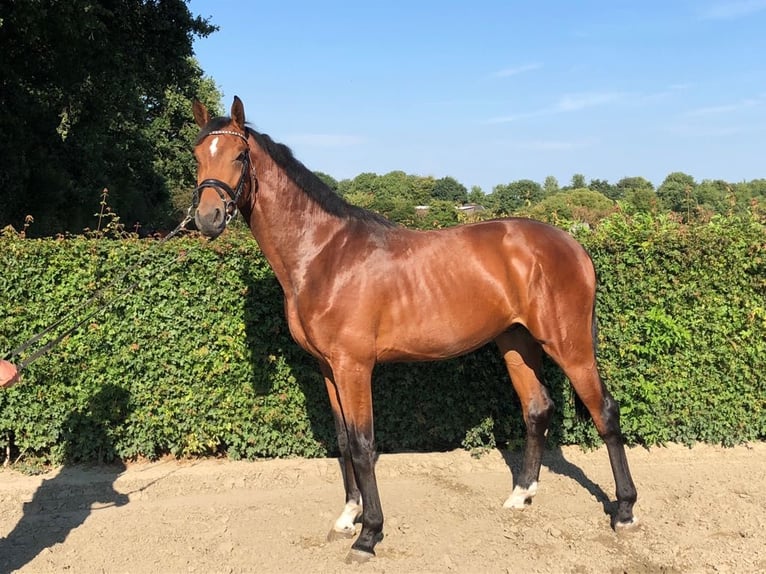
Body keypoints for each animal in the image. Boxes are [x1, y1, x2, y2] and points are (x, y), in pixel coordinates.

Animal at [194, 98, 640, 564]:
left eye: (239, 156)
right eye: (197, 155)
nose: (207, 218)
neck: (324, 255)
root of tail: (574, 245)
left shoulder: (354, 367)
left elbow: (363, 443)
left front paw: (368, 534)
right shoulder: (329, 369)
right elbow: (342, 440)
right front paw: (347, 517)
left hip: (569, 345)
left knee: (605, 411)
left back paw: (624, 511)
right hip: (516, 343)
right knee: (537, 409)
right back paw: (521, 495)